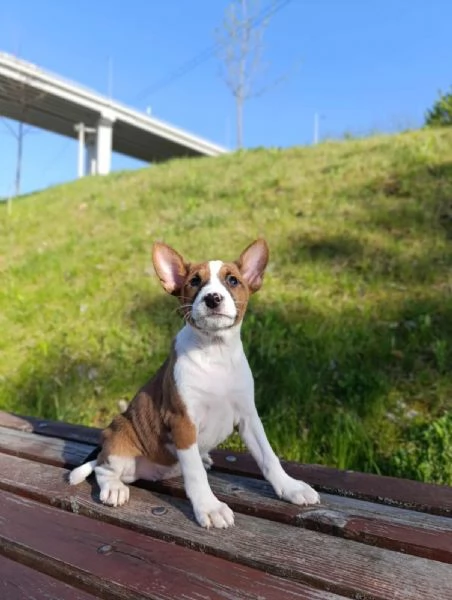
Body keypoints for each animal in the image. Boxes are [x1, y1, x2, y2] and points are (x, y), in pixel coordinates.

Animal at [69, 240, 320, 528]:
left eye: (233, 280)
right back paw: (114, 488)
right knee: (102, 468)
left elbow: (268, 457)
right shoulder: (183, 422)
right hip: (119, 444)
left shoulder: (249, 417)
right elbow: (196, 475)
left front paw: (290, 487)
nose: (213, 298)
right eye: (194, 282)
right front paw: (210, 508)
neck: (215, 353)